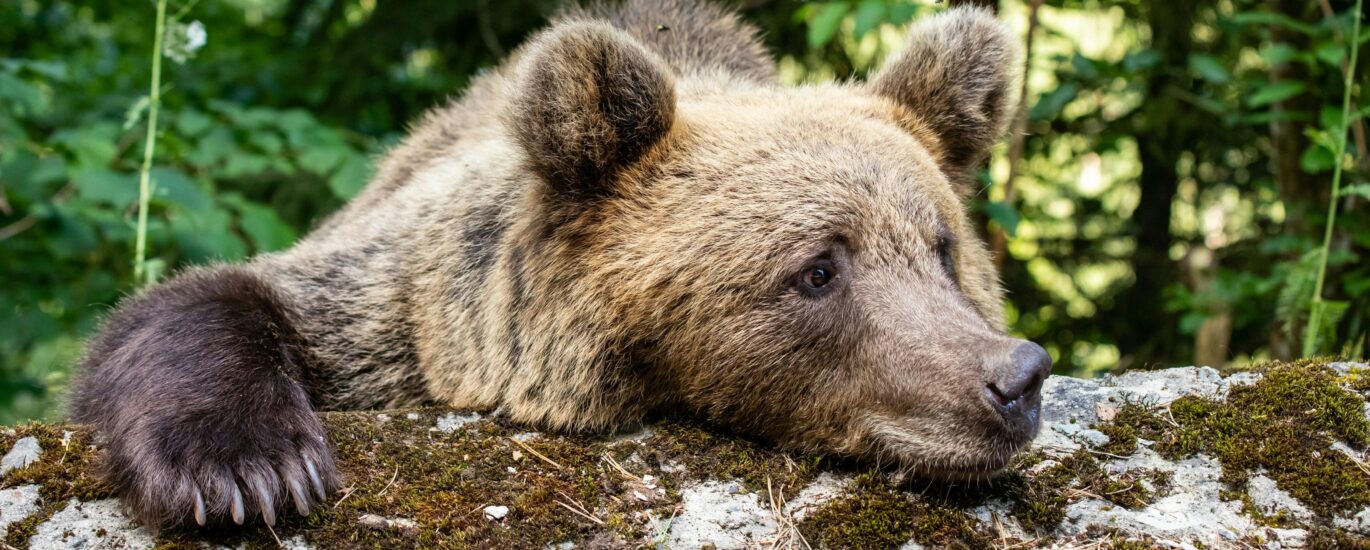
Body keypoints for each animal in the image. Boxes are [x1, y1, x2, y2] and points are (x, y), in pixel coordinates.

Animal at [69, 0, 1050, 529]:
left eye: (941, 249)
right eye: (819, 268)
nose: (1015, 377)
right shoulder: (410, 313)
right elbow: (213, 301)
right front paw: (246, 470)